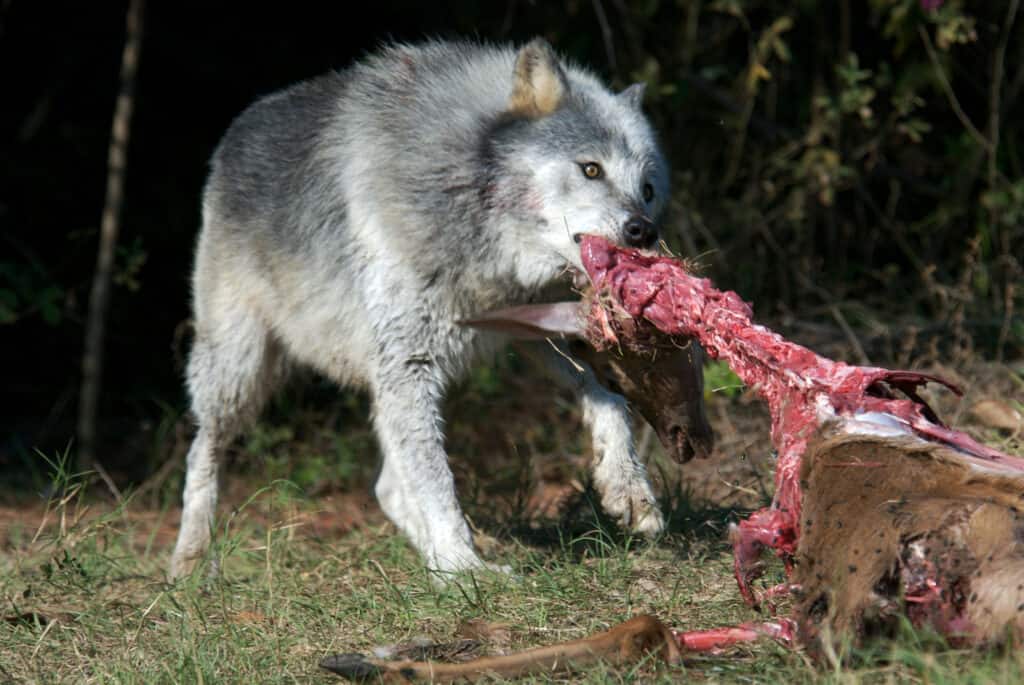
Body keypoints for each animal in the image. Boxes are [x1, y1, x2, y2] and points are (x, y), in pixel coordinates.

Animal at [169, 37, 671, 577]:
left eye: (647, 189)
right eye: (591, 169)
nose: (643, 231)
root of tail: (239, 128)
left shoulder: (527, 331)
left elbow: (608, 395)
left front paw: (629, 490)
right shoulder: (410, 362)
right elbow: (436, 481)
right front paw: (466, 571)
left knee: (387, 486)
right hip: (242, 372)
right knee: (202, 450)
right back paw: (189, 560)